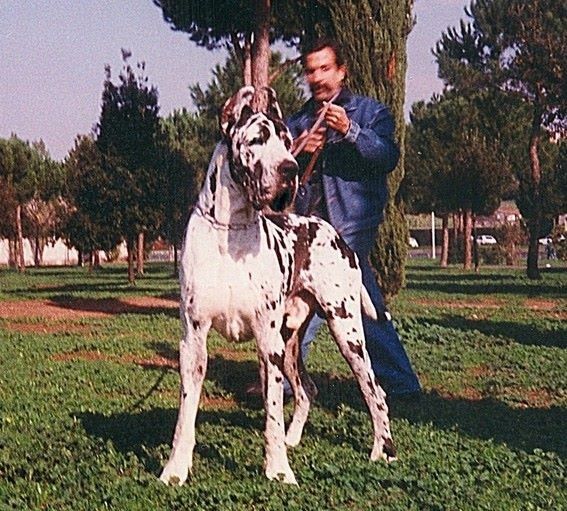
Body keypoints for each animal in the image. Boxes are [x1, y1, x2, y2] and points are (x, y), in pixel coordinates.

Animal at [160, 86, 395, 486]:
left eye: (287, 142)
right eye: (257, 139)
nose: (291, 169)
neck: (232, 230)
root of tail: (333, 232)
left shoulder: (266, 344)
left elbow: (271, 413)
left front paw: (279, 471)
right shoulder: (193, 341)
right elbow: (184, 417)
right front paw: (175, 470)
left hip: (345, 330)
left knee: (374, 390)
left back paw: (383, 450)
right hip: (290, 343)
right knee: (308, 389)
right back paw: (294, 437)